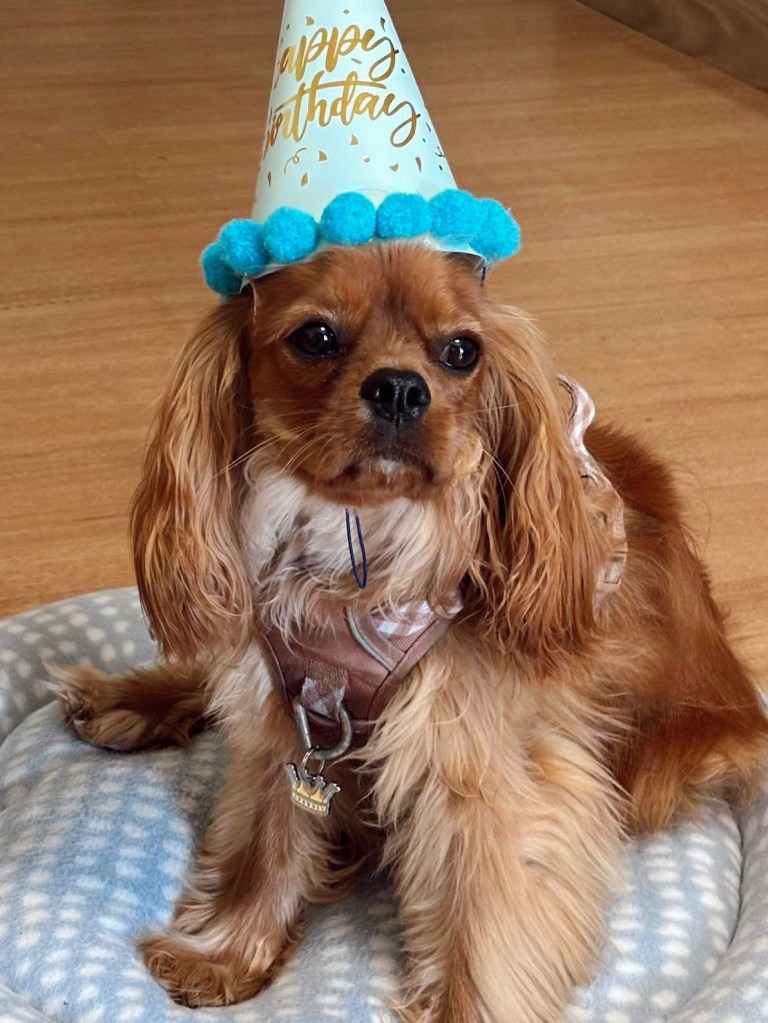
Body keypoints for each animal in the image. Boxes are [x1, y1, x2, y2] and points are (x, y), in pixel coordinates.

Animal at [54, 242, 767, 1022]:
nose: (399, 388)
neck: (353, 546)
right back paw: (123, 700)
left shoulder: (481, 774)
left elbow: (484, 931)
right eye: (316, 337)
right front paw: (227, 951)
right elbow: (269, 841)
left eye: (461, 351)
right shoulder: (289, 719)